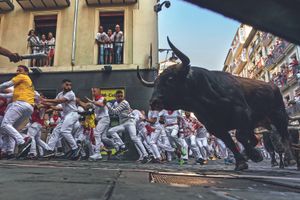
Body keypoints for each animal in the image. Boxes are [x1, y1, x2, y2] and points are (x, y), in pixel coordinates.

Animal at [137, 38, 290, 170]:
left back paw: (288, 158)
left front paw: (255, 156)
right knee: (255, 139)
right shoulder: (214, 127)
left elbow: (239, 136)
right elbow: (230, 142)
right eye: (155, 84)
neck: (206, 98)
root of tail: (272, 85)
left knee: (283, 135)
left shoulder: (242, 113)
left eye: (170, 79)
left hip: (279, 116)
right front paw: (241, 162)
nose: (154, 102)